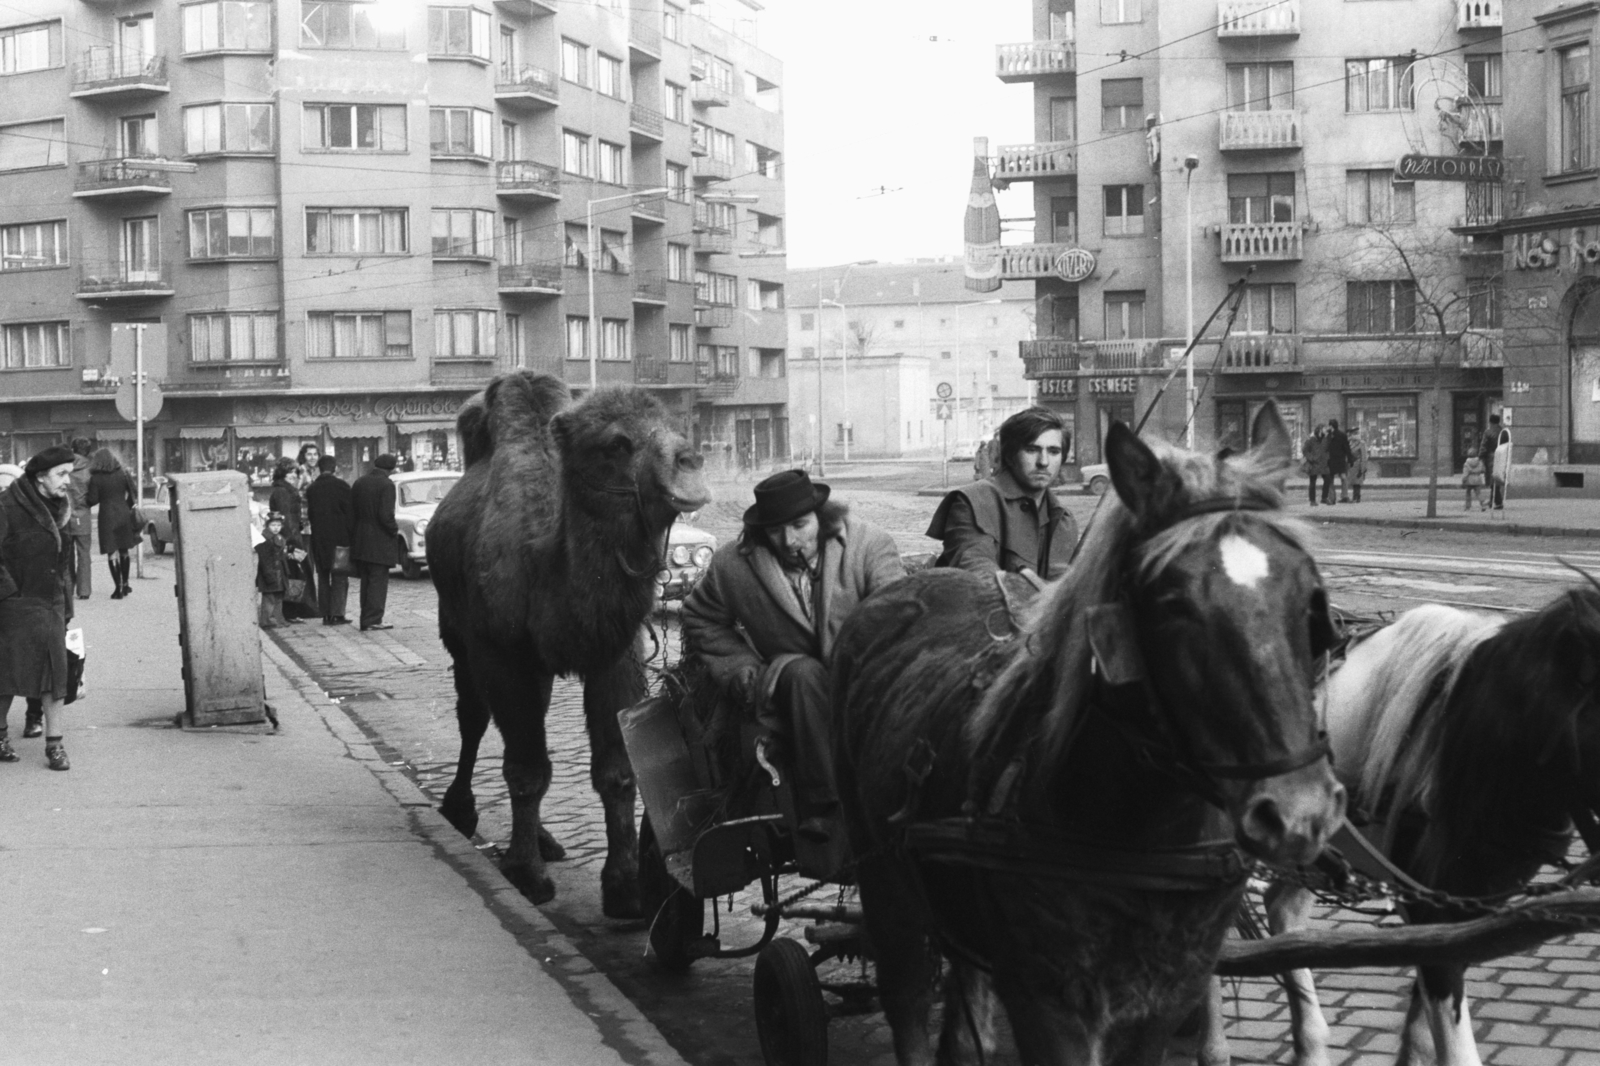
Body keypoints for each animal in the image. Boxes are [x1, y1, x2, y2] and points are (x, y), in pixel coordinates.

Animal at [425, 368, 707, 915]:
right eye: (616, 444)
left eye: (675, 427)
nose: (689, 462)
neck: (544, 564)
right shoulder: (500, 653)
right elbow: (525, 768)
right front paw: (526, 875)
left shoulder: (616, 654)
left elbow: (617, 771)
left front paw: (624, 890)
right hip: (457, 632)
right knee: (473, 719)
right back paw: (462, 811)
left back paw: (544, 840)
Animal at [832, 403, 1344, 1056]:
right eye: (1172, 603)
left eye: (1309, 596)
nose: (1300, 813)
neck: (1140, 834)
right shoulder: (1049, 1004)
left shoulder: (1164, 997)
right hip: (884, 883)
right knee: (908, 998)